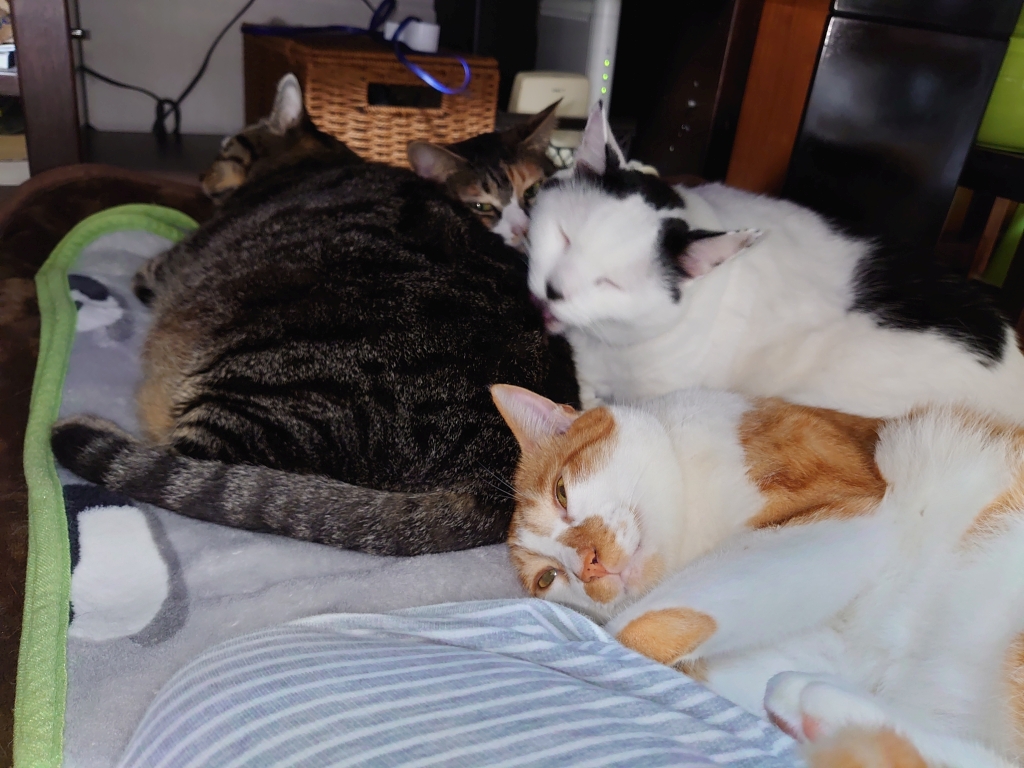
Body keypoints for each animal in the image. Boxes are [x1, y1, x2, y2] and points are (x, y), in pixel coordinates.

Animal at [490, 382, 1024, 767]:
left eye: (561, 493)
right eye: (547, 579)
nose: (588, 565)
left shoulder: (845, 514)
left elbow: (639, 626)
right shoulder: (833, 647)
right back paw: (821, 710)